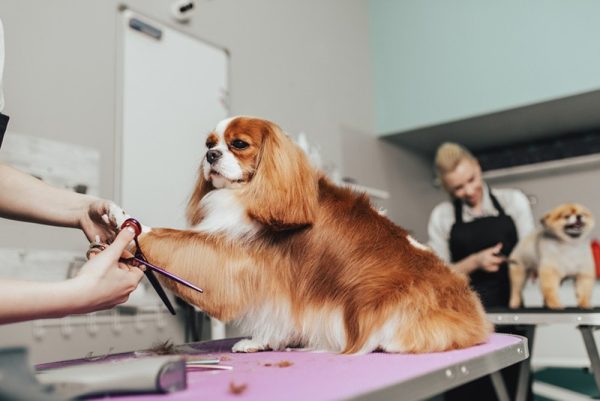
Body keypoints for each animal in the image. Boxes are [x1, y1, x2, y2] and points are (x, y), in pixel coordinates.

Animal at [110, 115, 490, 354]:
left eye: (239, 144)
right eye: (209, 143)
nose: (211, 155)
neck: (253, 192)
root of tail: (475, 315)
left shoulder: (245, 259)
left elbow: (171, 238)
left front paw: (126, 219)